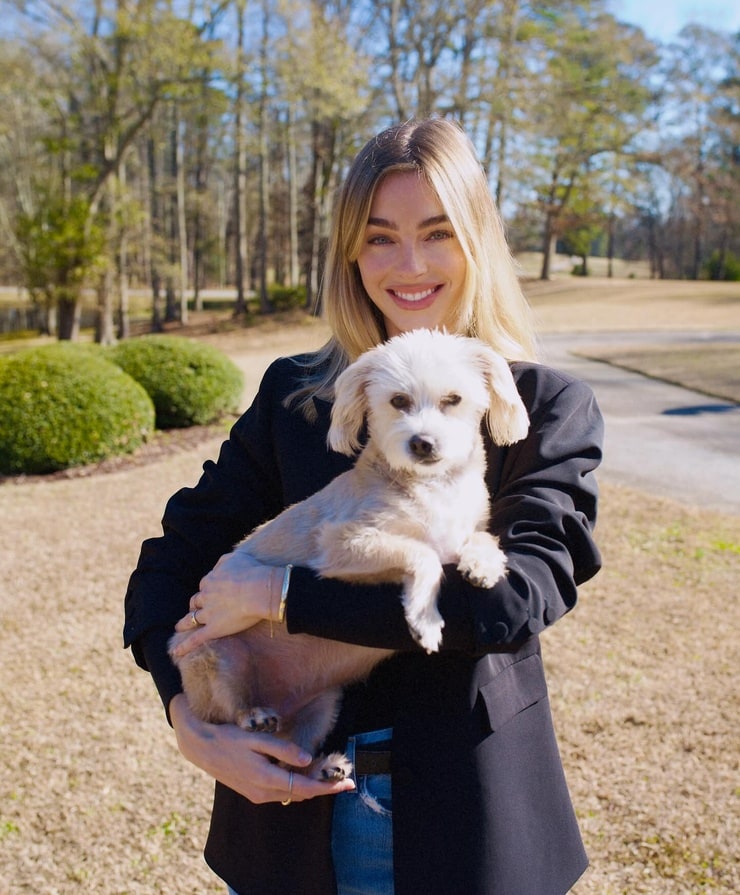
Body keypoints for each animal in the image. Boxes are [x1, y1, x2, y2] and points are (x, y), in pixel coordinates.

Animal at [169, 328, 528, 776]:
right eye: (398, 401)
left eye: (453, 399)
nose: (423, 443)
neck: (433, 486)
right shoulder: (345, 544)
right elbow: (423, 554)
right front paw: (425, 619)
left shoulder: (467, 527)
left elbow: (480, 538)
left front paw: (484, 563)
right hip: (217, 657)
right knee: (231, 712)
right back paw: (252, 715)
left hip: (323, 706)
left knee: (292, 759)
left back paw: (324, 766)